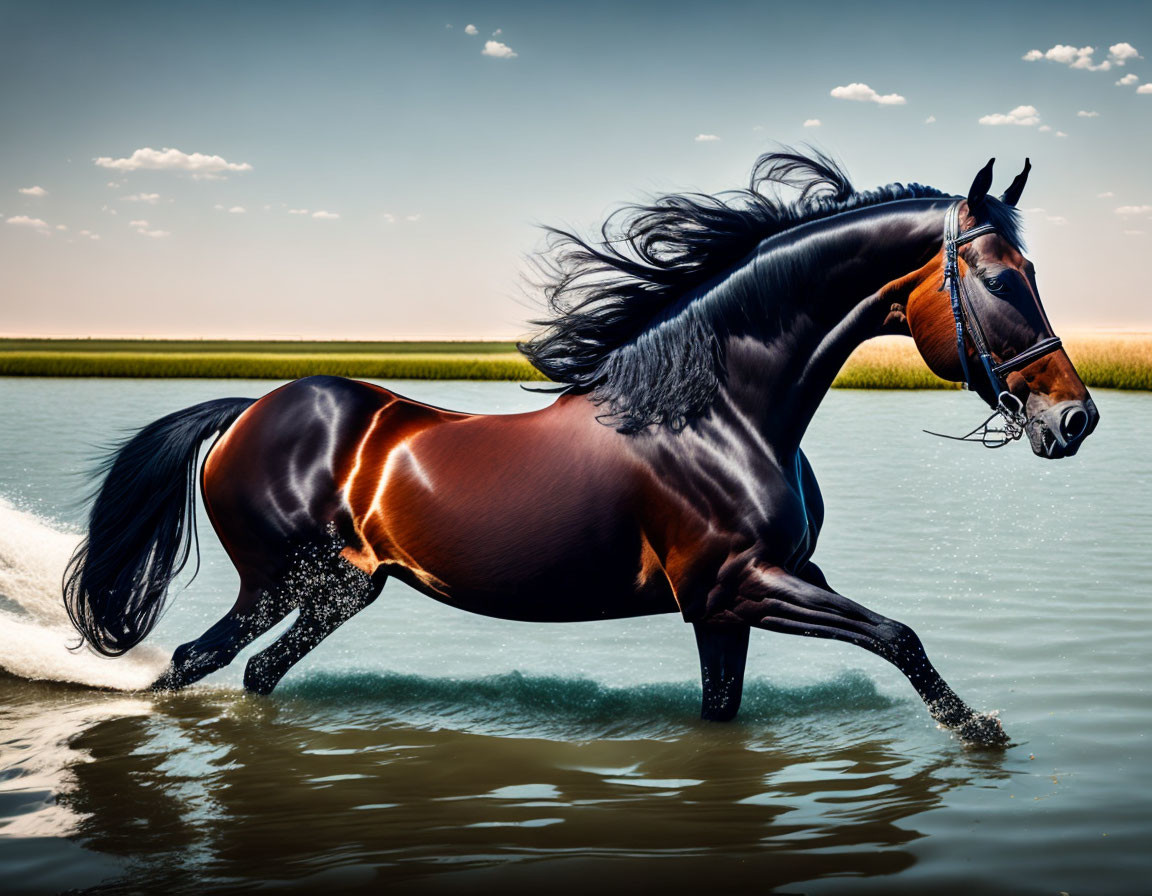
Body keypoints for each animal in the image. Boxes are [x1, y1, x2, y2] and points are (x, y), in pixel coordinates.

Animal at [60, 152, 1096, 741]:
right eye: (999, 279)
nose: (1074, 419)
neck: (717, 415)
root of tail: (247, 411)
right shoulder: (744, 586)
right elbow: (899, 635)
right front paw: (979, 729)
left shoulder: (734, 605)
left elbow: (728, 710)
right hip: (277, 582)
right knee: (193, 659)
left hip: (341, 591)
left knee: (252, 672)